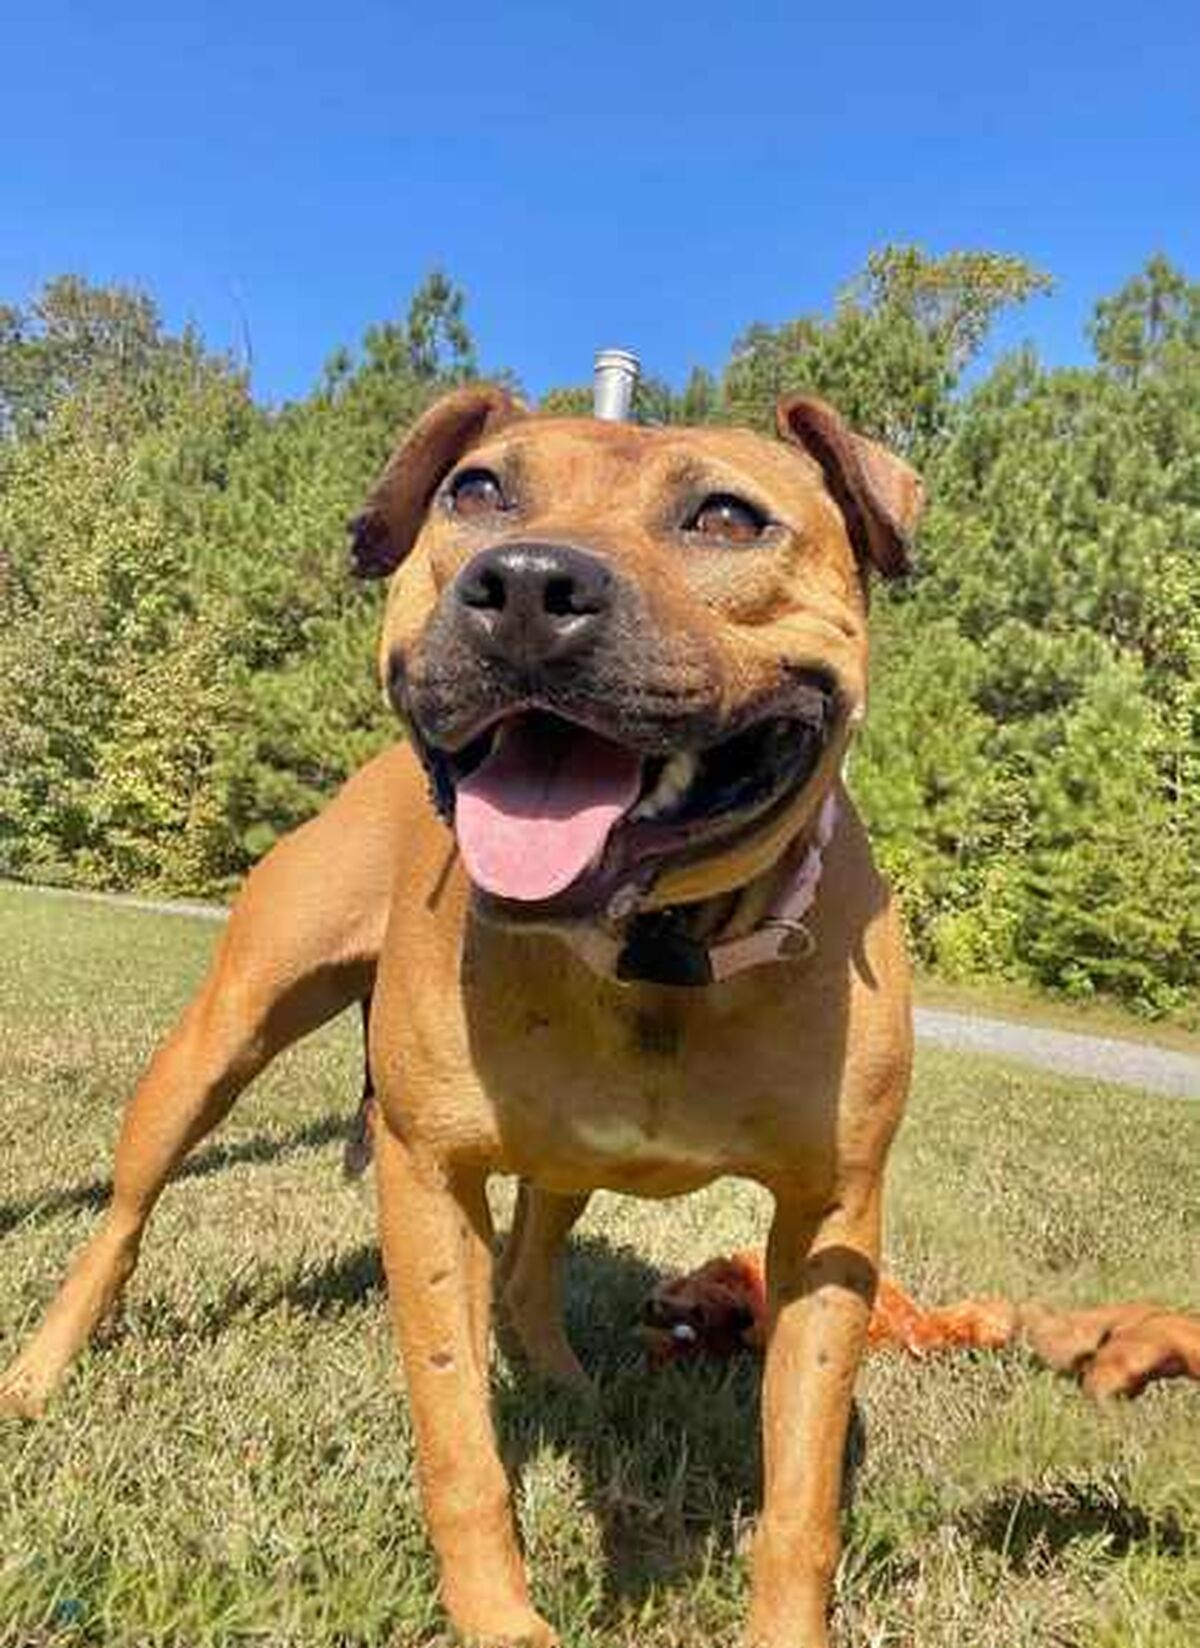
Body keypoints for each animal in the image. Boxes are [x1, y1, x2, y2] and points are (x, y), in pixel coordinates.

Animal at [2, 386, 923, 1647]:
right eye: (477, 492)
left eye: (729, 517)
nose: (527, 584)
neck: (652, 947)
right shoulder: (428, 1174)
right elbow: (458, 1443)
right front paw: (499, 1616)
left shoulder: (832, 1226)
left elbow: (800, 1495)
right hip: (217, 1043)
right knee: (123, 1221)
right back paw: (40, 1373)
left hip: (565, 1159)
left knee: (533, 1270)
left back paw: (564, 1377)